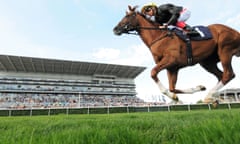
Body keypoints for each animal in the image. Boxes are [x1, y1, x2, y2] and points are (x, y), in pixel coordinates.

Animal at [112, 5, 240, 102]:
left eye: (128, 16)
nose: (115, 29)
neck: (158, 37)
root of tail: (235, 31)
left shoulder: (171, 59)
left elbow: (153, 73)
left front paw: (174, 97)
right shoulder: (172, 67)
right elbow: (172, 88)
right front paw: (197, 88)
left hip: (225, 50)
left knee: (228, 74)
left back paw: (209, 96)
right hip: (207, 62)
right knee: (221, 75)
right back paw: (214, 97)